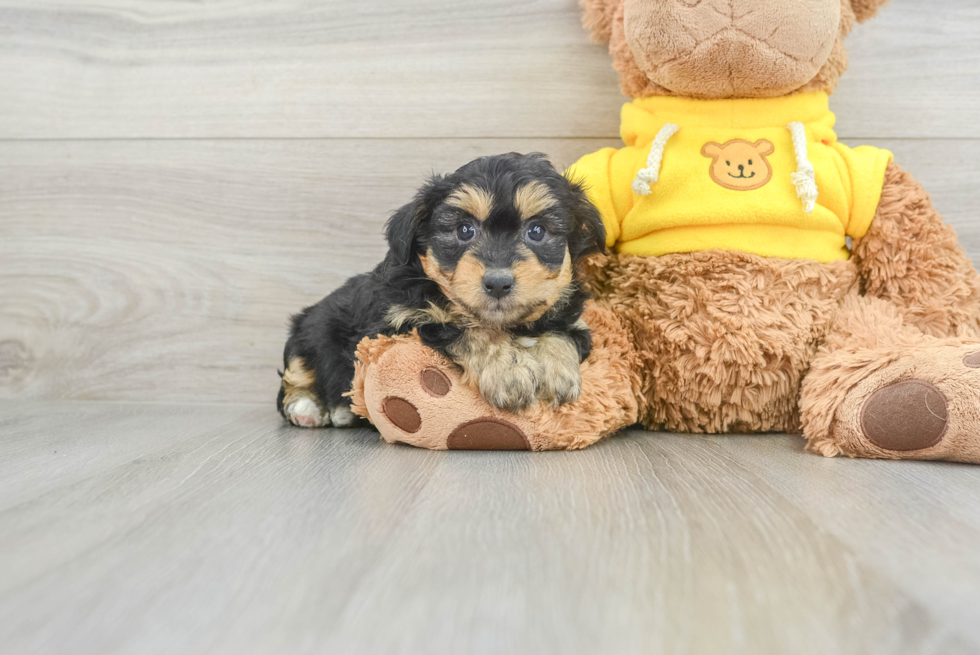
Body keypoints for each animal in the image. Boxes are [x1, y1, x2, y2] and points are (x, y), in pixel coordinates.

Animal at [276, 154, 608, 430]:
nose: (498, 282)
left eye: (537, 231)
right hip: (308, 333)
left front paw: (557, 373)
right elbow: (469, 330)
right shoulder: (399, 321)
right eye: (464, 230)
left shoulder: (573, 320)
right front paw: (508, 372)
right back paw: (308, 408)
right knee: (295, 376)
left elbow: (561, 334)